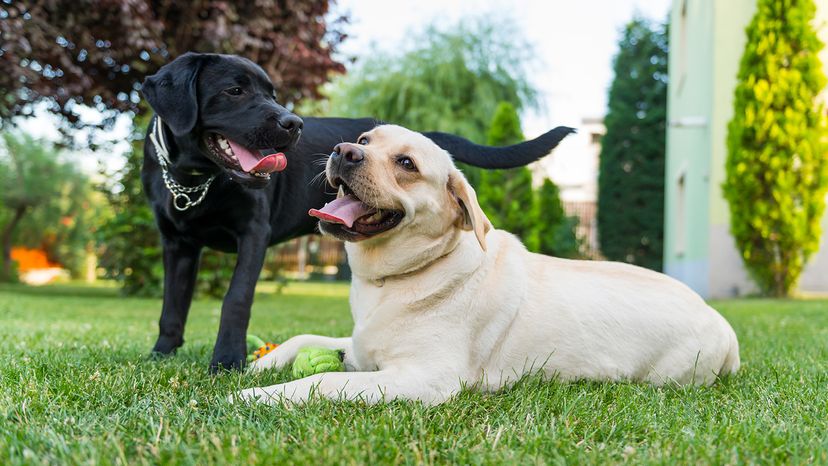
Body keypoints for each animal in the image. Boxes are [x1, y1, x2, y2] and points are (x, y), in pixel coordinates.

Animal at [139, 52, 572, 372]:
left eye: (272, 93)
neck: (195, 179)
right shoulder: (176, 244)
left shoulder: (253, 234)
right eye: (234, 90)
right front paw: (161, 354)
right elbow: (172, 305)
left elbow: (236, 299)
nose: (293, 123)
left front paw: (226, 360)